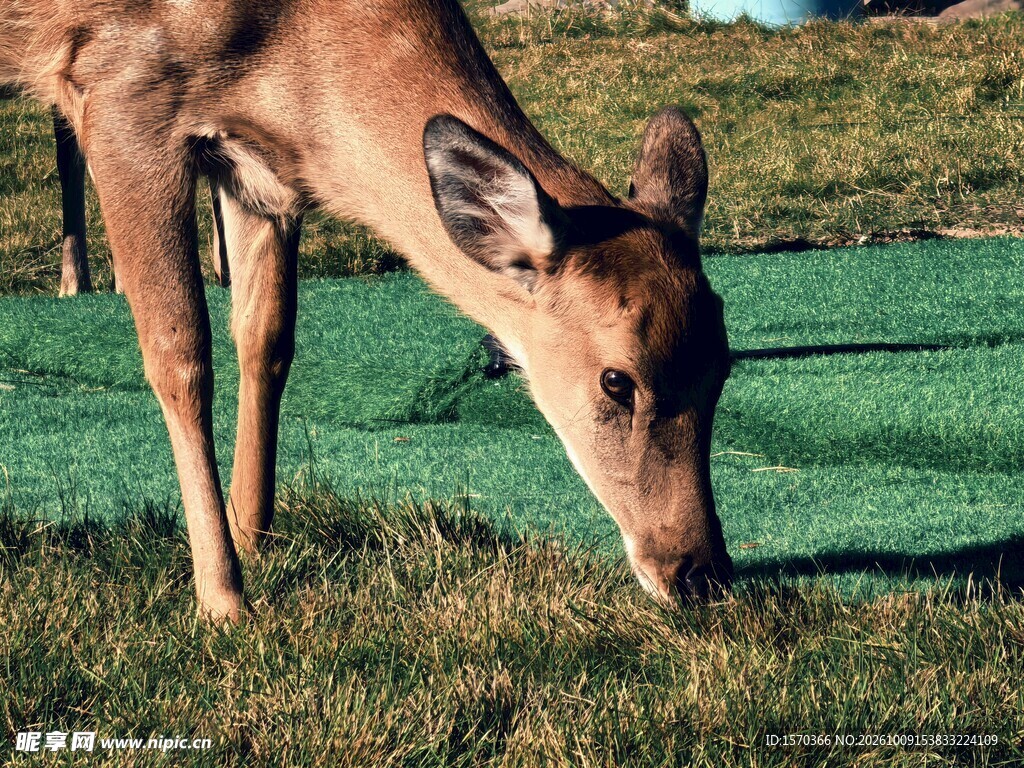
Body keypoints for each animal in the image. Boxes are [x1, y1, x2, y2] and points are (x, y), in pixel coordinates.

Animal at [1, 0, 734, 622]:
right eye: (616, 380)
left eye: (724, 366)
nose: (701, 573)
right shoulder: (119, 84)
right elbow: (180, 355)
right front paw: (223, 598)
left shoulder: (259, 170)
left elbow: (266, 339)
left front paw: (252, 532)